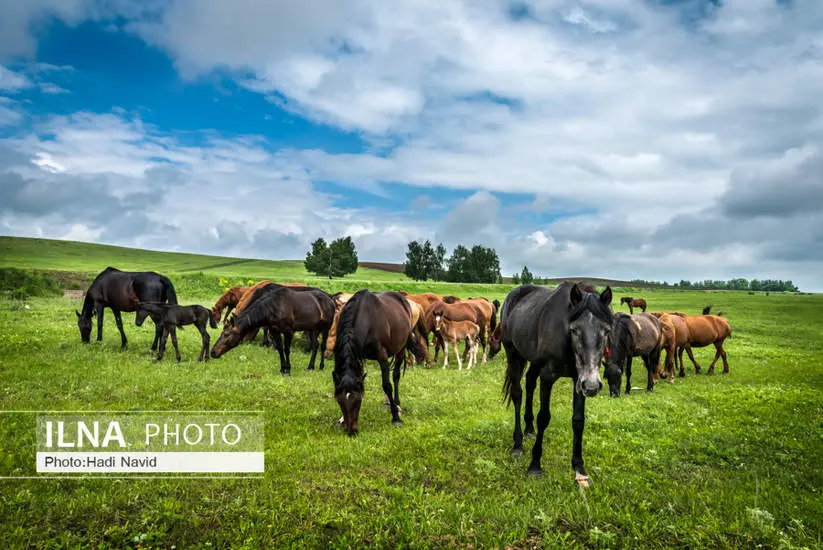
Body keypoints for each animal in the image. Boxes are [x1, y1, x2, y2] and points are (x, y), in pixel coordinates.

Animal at [334, 292, 424, 438]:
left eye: (358, 401)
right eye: (339, 401)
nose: (352, 431)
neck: (366, 318)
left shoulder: (382, 356)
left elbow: (387, 385)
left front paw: (395, 418)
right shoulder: (359, 356)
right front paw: (341, 419)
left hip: (400, 348)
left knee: (396, 375)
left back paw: (396, 403)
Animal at [498, 284, 616, 488]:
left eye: (606, 330)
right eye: (575, 330)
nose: (593, 385)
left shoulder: (579, 379)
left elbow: (578, 421)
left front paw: (579, 468)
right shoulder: (548, 377)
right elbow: (544, 417)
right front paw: (534, 465)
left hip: (534, 361)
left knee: (530, 383)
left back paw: (529, 429)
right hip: (513, 354)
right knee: (517, 393)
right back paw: (518, 444)